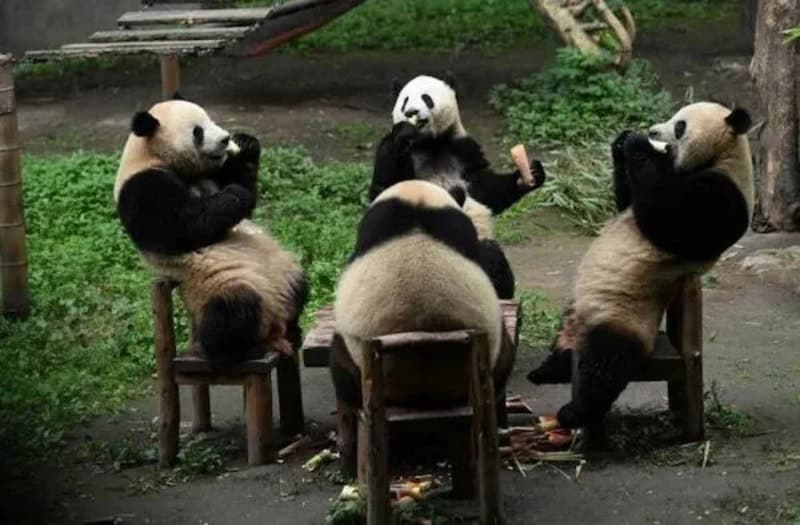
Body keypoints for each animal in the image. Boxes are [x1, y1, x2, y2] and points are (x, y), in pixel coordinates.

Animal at [114, 98, 308, 365]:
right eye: (198, 131)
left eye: (210, 119)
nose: (226, 139)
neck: (150, 154)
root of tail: (273, 326)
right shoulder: (142, 188)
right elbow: (182, 227)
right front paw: (236, 194)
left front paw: (246, 145)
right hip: (217, 284)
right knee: (233, 312)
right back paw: (243, 351)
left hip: (280, 267)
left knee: (299, 283)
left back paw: (293, 326)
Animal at [371, 74, 547, 298]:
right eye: (405, 101)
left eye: (426, 98)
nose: (411, 112)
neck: (429, 144)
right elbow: (385, 189)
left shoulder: (463, 150)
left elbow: (485, 189)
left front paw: (529, 175)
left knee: (493, 260)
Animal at [527, 102, 754, 430]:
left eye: (680, 126)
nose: (652, 132)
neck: (723, 157)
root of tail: (582, 327)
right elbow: (628, 203)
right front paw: (621, 142)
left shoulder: (722, 196)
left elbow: (668, 217)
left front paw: (636, 144)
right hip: (577, 308)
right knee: (564, 344)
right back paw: (546, 371)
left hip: (625, 315)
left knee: (605, 363)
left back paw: (575, 412)